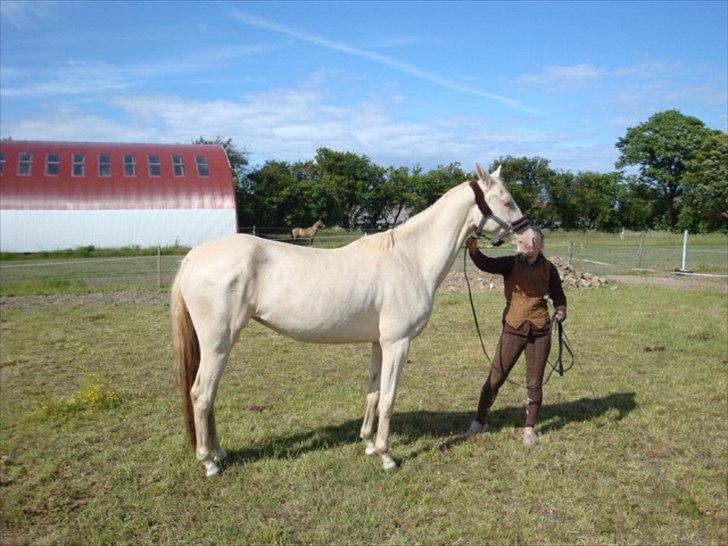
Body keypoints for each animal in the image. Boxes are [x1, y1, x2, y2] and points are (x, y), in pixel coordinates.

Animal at [171, 164, 536, 474]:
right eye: (507, 200)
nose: (532, 240)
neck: (410, 259)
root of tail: (192, 258)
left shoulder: (379, 343)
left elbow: (373, 393)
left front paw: (369, 444)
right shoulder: (398, 343)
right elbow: (388, 398)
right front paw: (387, 457)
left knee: (210, 395)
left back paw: (220, 453)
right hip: (219, 343)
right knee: (201, 394)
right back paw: (209, 462)